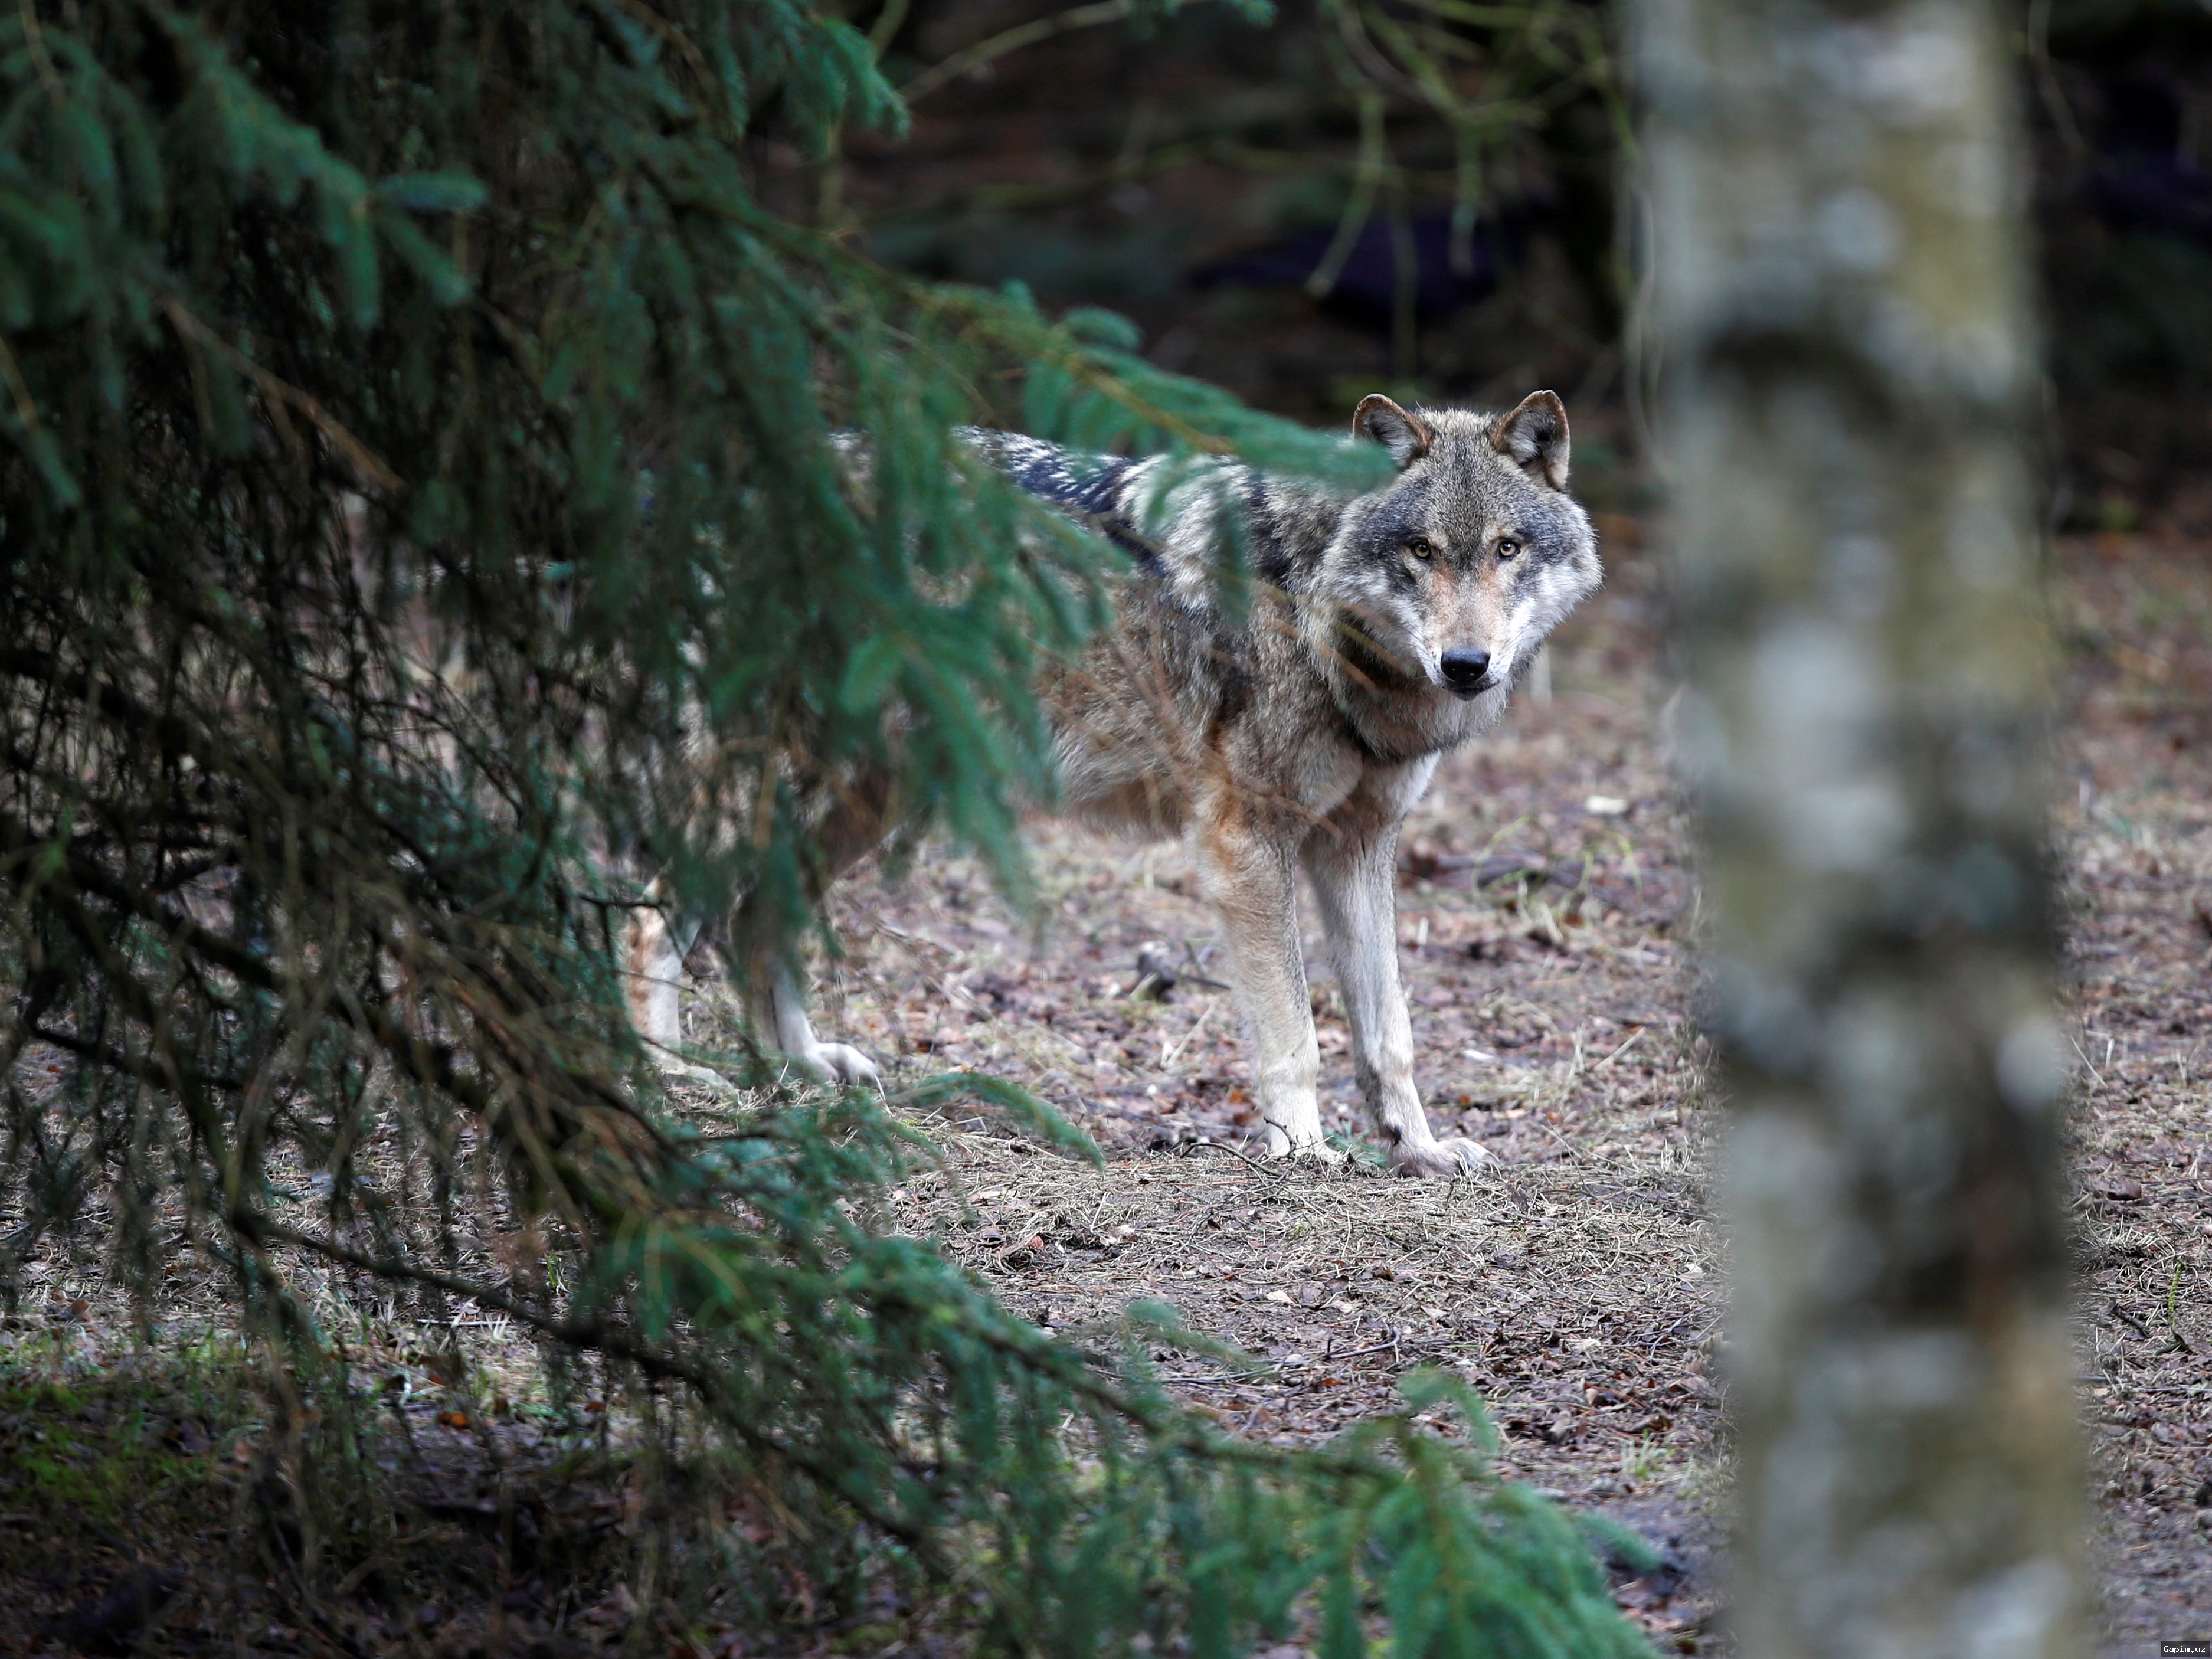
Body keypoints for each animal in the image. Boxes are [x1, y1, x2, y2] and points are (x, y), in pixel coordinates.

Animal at [626, 391, 1601, 1177]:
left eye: (1507, 548)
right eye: (1422, 551)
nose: (1467, 664)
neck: (1313, 598)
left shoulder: (1360, 845)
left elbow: (1388, 1033)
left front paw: (1418, 1147)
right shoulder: (1246, 842)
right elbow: (1295, 1034)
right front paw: (1304, 1148)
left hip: (861, 806)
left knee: (759, 922)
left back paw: (802, 1068)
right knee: (646, 922)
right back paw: (667, 1075)